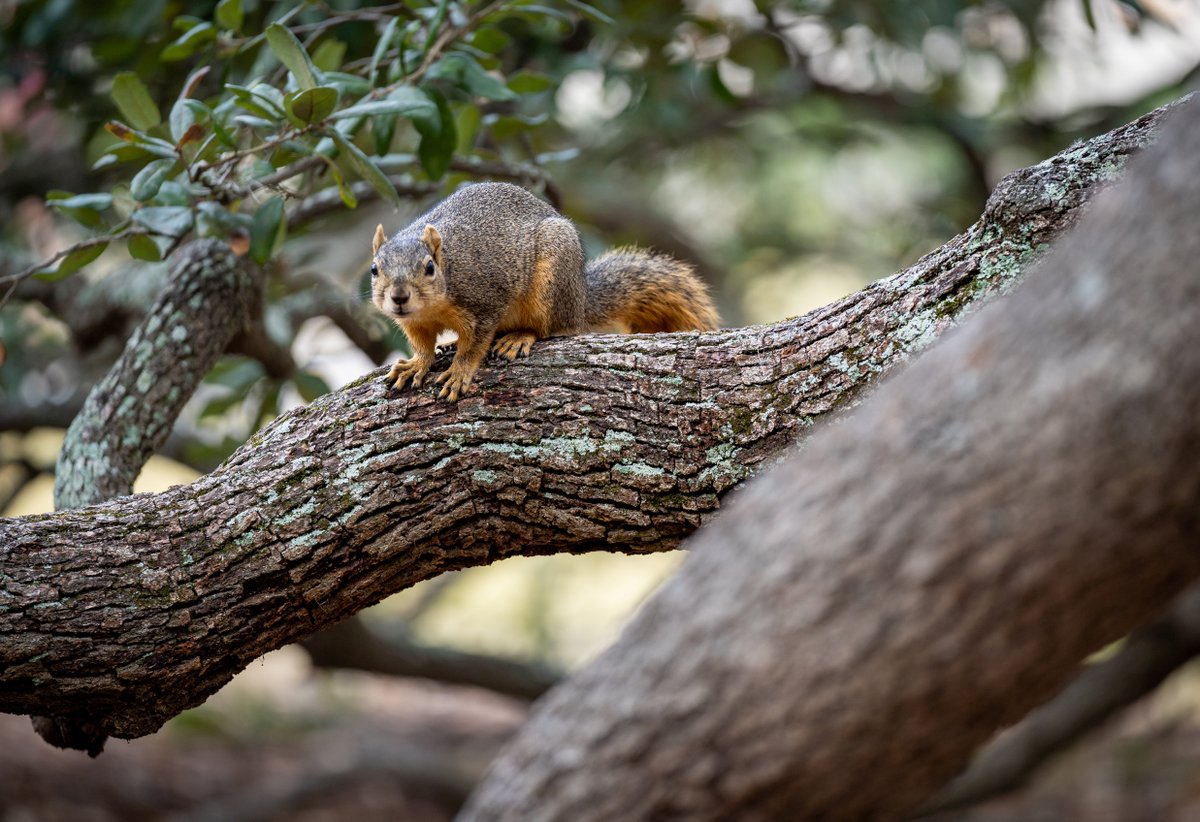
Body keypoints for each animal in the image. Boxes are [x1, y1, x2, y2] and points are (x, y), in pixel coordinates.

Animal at [369, 181, 719, 400]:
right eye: (374, 269)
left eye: (429, 268)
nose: (399, 297)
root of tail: (580, 298)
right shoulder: (414, 323)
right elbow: (422, 345)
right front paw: (416, 364)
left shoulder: (486, 300)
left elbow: (477, 343)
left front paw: (460, 371)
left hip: (551, 283)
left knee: (553, 329)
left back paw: (519, 337)